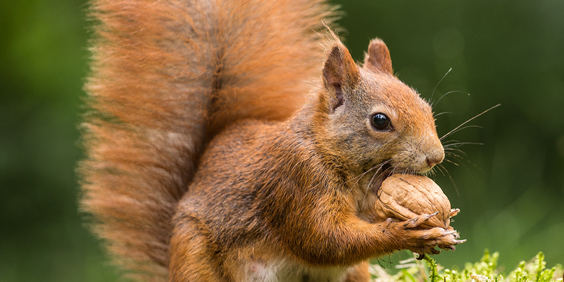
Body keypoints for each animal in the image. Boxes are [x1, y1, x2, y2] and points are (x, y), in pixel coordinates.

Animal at [81, 0, 464, 280]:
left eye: (425, 106)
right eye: (380, 121)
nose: (435, 157)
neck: (327, 152)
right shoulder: (296, 182)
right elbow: (324, 240)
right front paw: (410, 234)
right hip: (196, 258)